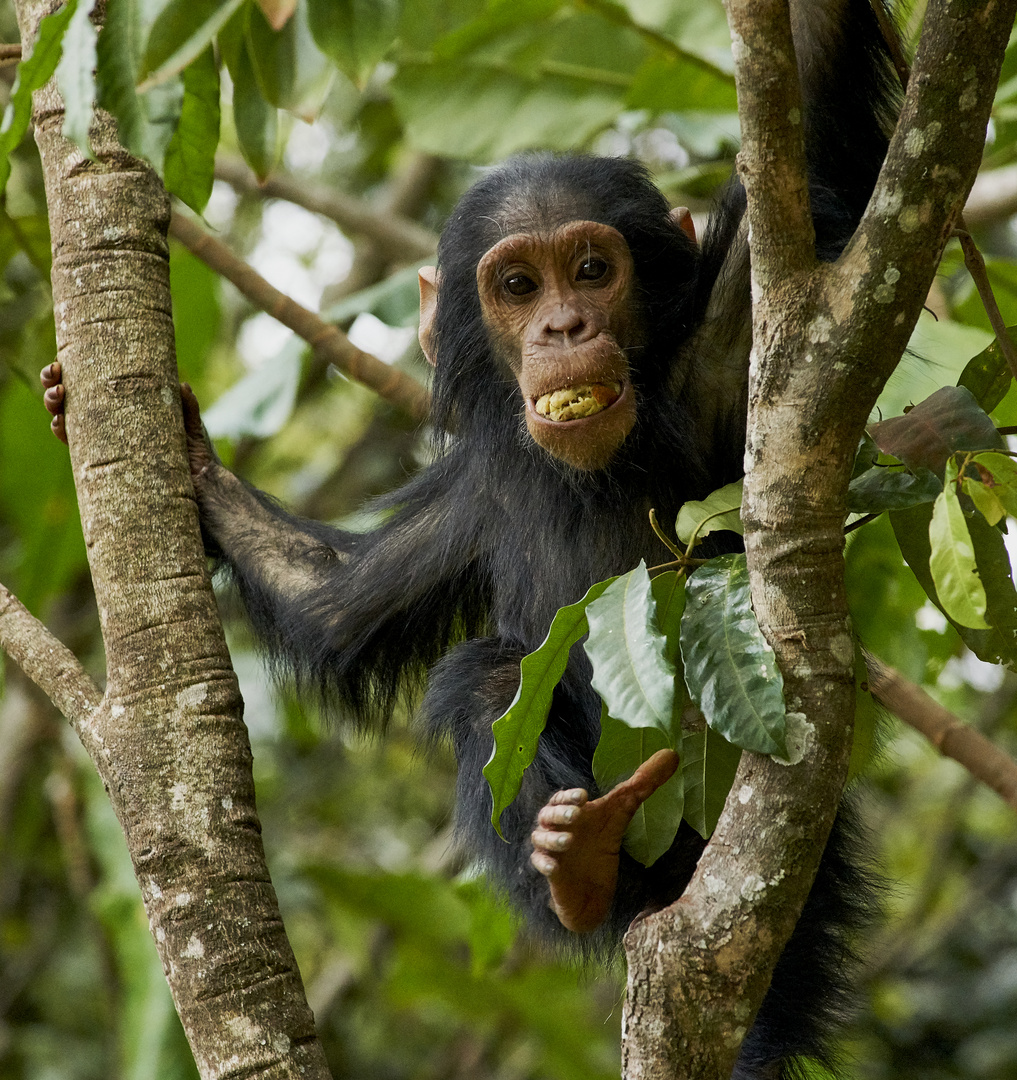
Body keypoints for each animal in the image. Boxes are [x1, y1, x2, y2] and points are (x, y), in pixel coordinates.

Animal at [43, 4, 902, 1075]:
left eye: (592, 270)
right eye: (517, 284)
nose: (563, 325)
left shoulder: (732, 343)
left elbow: (814, 78)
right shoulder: (473, 496)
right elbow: (338, 600)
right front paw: (190, 456)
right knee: (487, 680)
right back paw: (578, 862)